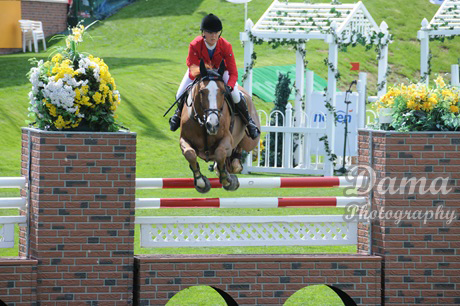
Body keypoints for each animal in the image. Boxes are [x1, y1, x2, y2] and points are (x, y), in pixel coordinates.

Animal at [179, 59, 260, 194]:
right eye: (201, 91)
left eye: (223, 91)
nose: (213, 125)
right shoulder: (184, 139)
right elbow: (190, 154)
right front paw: (201, 182)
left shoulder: (227, 139)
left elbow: (220, 153)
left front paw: (227, 180)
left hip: (249, 140)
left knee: (240, 151)